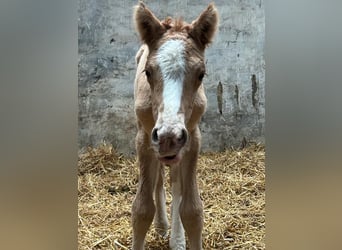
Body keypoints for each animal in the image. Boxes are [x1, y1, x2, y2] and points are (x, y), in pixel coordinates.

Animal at [132, 2, 218, 250]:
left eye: (201, 74)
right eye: (148, 72)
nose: (169, 137)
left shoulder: (192, 138)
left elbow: (192, 210)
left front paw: (180, 238)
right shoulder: (145, 138)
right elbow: (141, 209)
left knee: (175, 183)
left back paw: (177, 239)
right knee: (160, 179)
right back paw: (162, 226)